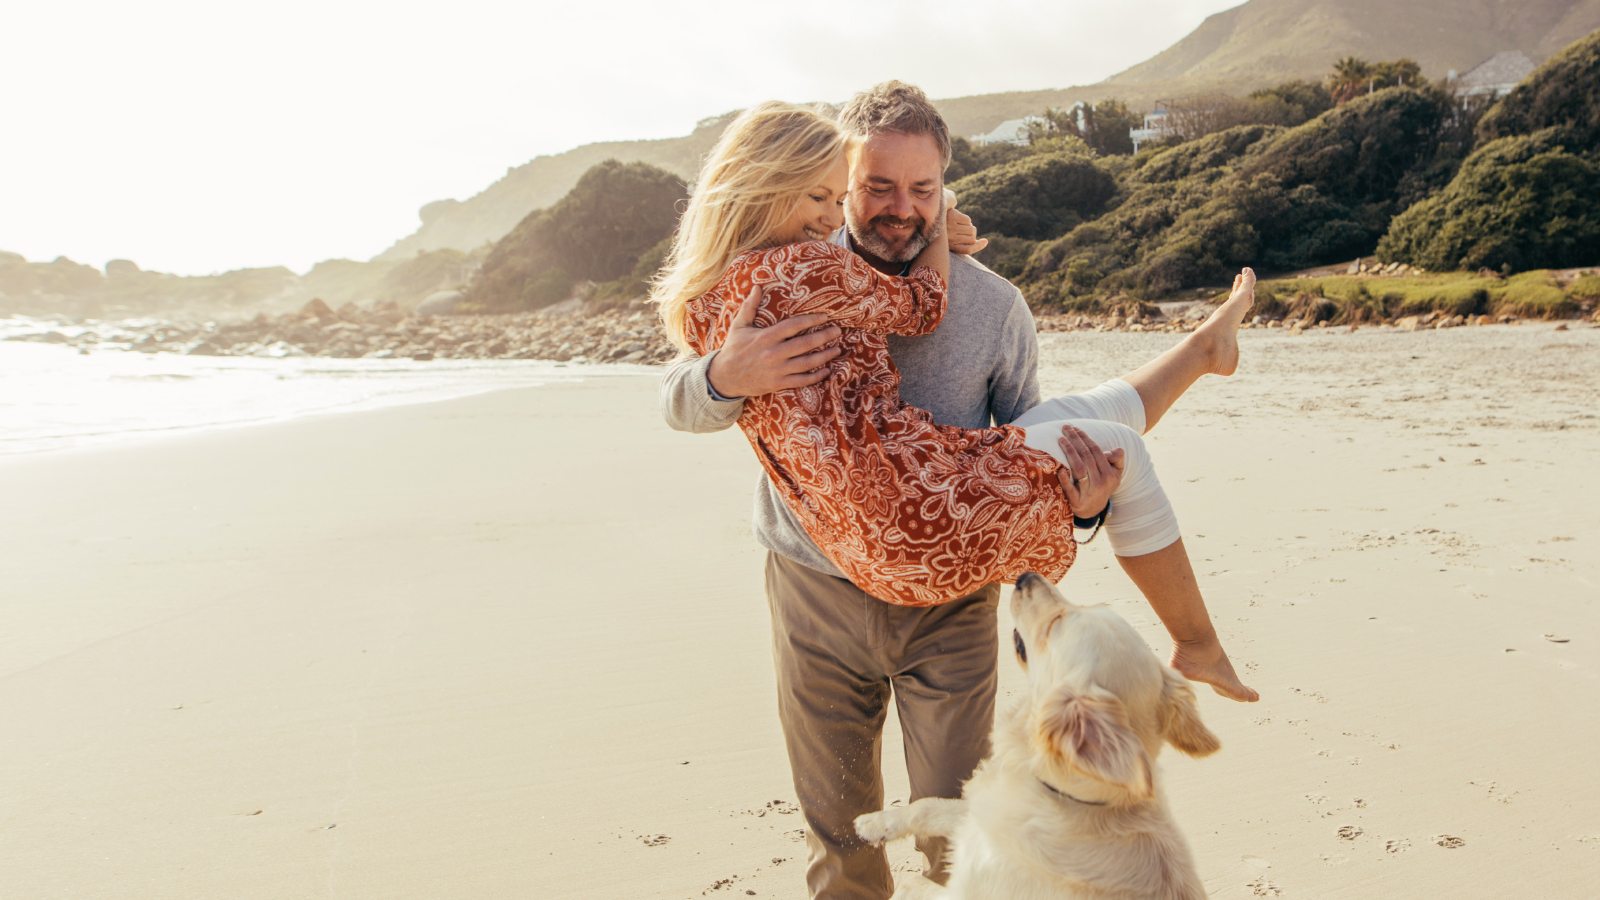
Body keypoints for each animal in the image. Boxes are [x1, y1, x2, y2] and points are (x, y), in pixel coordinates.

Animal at [857, 570, 1216, 890]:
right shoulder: (981, 818)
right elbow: (927, 806)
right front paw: (874, 823)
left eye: (1056, 623)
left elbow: (915, 884)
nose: (1026, 576)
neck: (1065, 793)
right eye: (1088, 606)